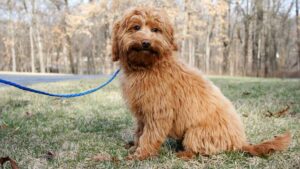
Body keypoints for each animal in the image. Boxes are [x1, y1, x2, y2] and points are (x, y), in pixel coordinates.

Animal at [111, 6, 292, 160]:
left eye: (156, 30)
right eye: (135, 27)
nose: (146, 43)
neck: (148, 66)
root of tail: (241, 142)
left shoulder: (159, 112)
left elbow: (150, 136)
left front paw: (140, 154)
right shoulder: (143, 113)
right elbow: (139, 132)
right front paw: (134, 147)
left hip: (195, 132)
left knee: (200, 150)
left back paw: (183, 154)